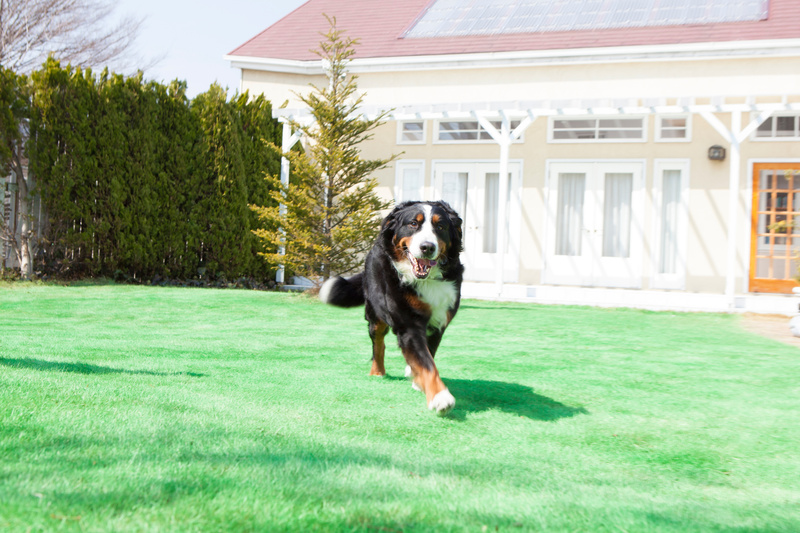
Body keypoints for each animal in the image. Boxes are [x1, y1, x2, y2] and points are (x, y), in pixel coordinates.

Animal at [322, 202, 466, 414]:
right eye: (413, 224)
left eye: (440, 227)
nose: (427, 247)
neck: (426, 280)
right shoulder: (409, 326)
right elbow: (427, 364)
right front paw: (440, 396)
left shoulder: (438, 323)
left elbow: (428, 356)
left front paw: (420, 381)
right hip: (375, 315)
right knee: (378, 344)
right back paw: (377, 372)